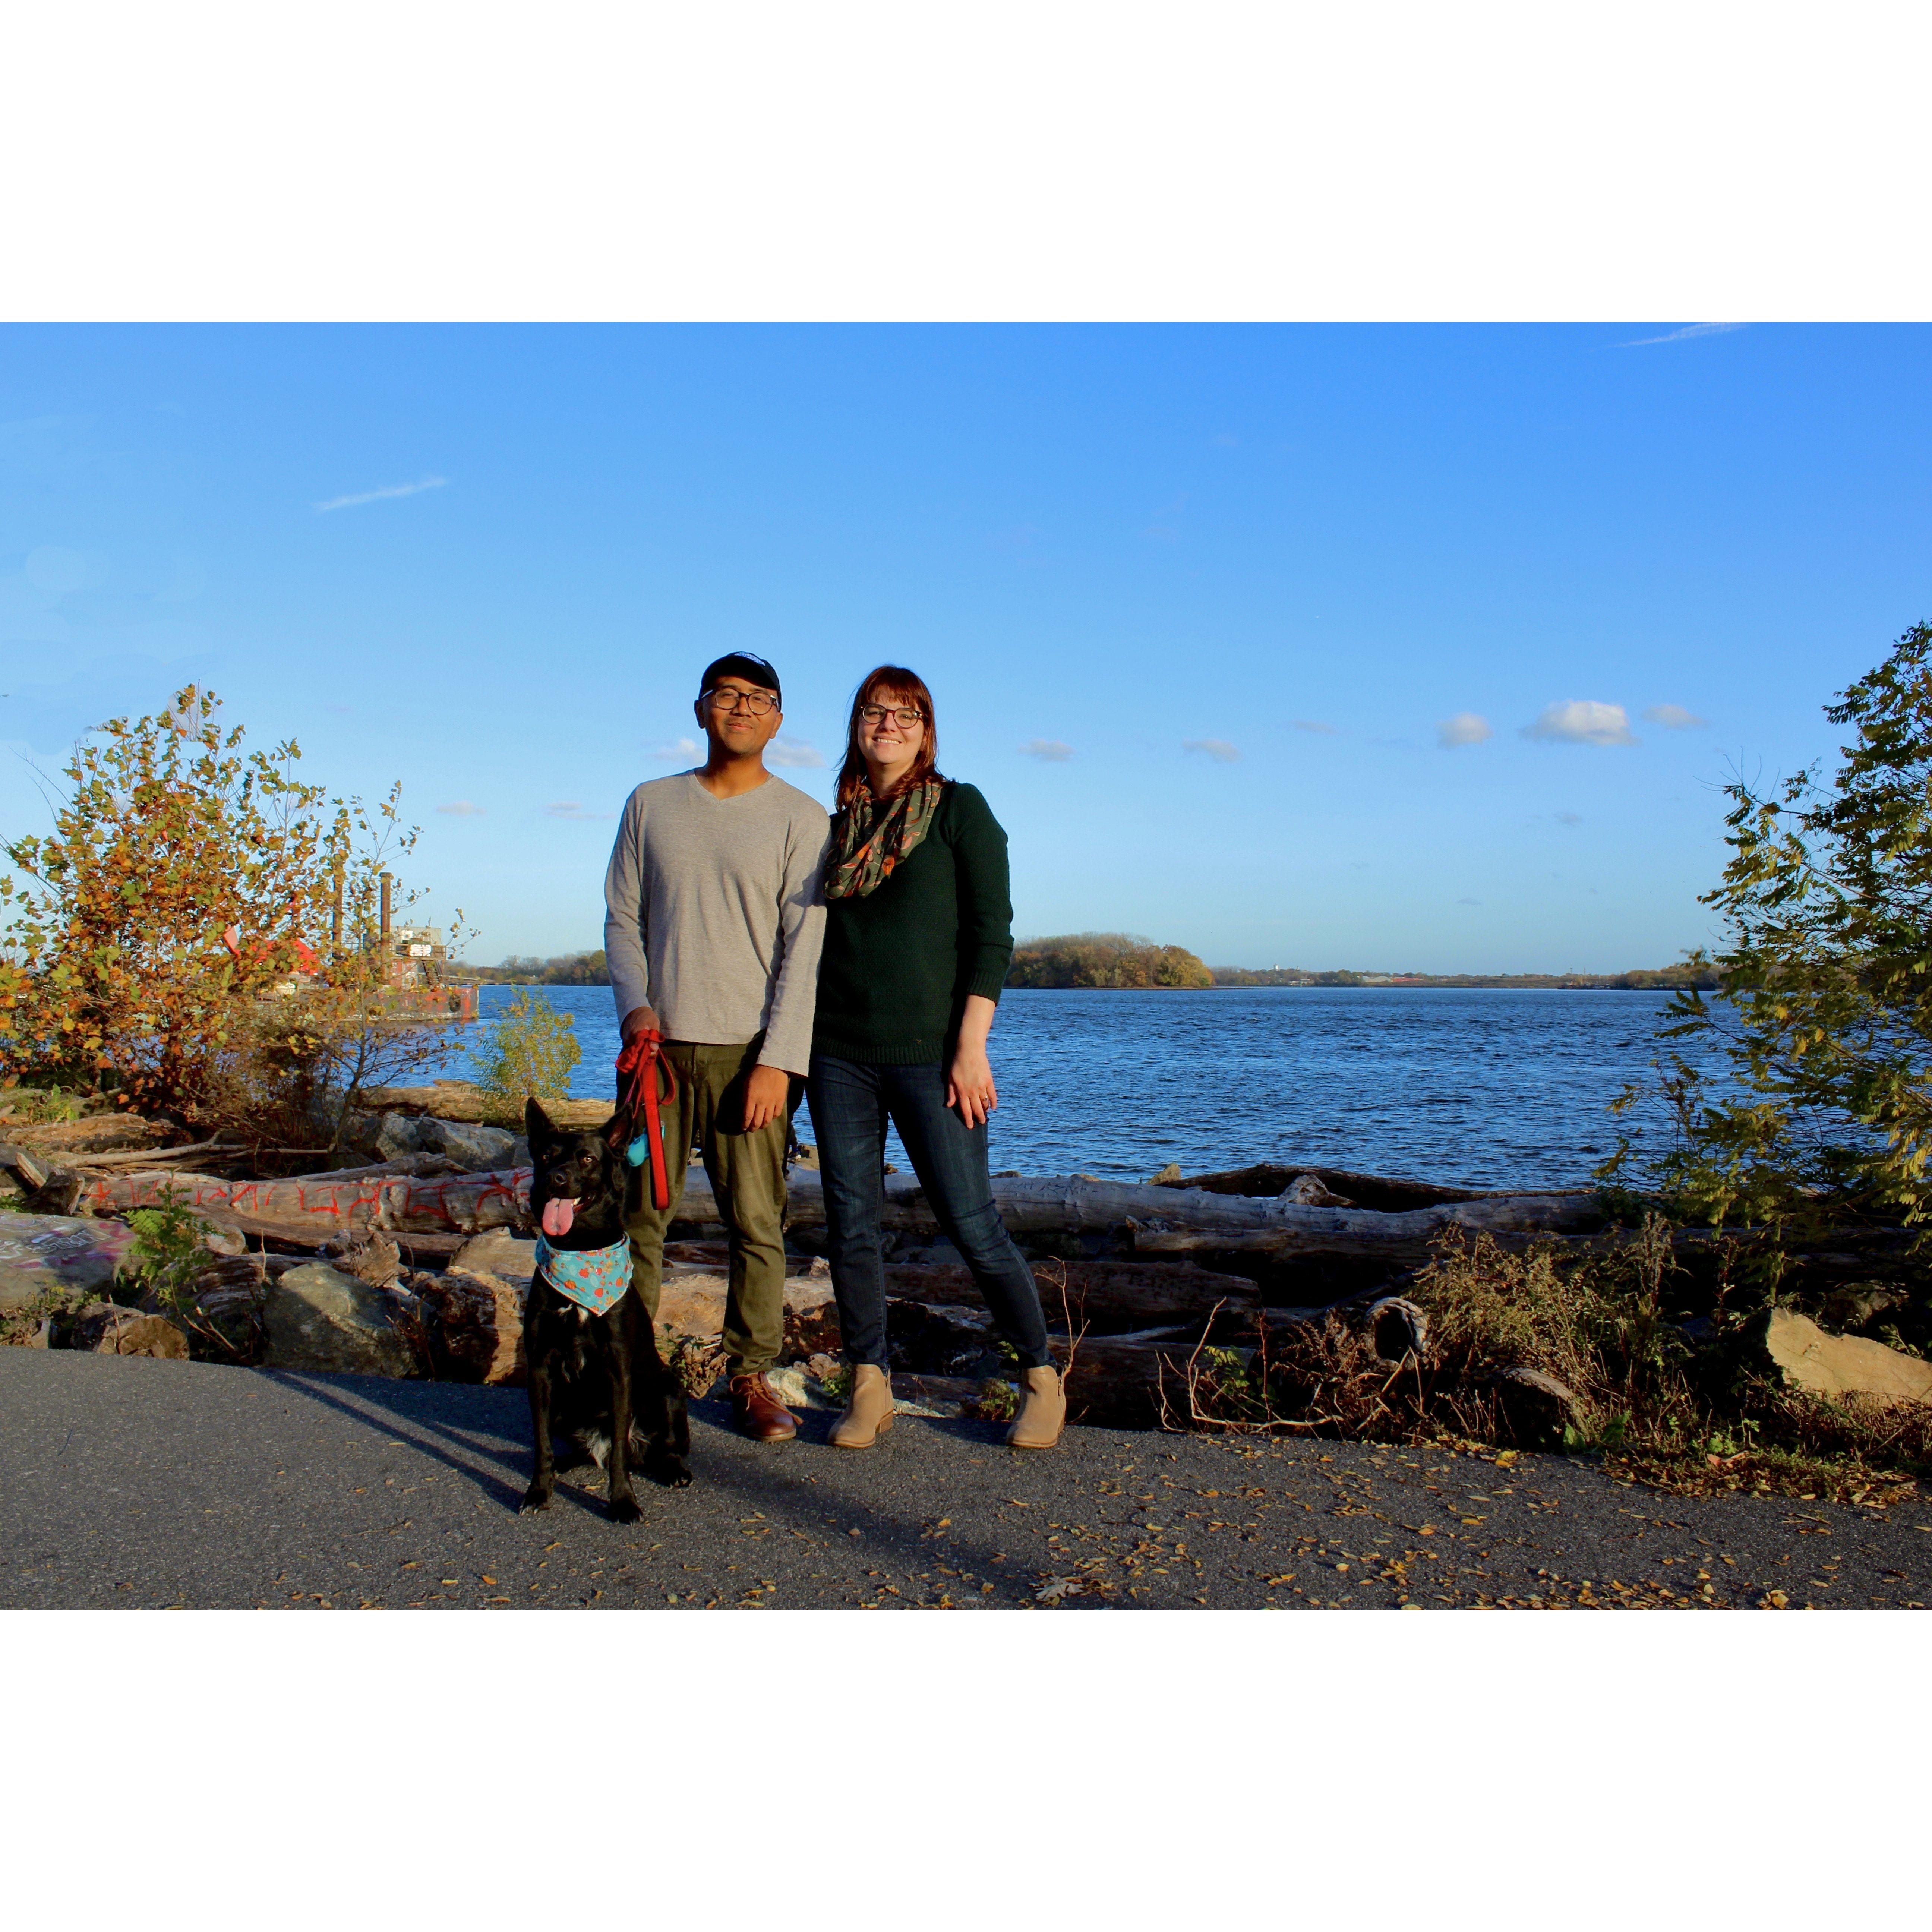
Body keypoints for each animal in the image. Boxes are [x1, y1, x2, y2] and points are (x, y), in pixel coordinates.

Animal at [518, 1097, 691, 1515]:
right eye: (545, 1155)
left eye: (586, 1159)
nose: (556, 1179)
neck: (578, 1250)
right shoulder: (540, 1369)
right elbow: (541, 1444)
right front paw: (538, 1491)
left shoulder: (618, 1368)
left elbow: (619, 1458)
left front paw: (623, 1502)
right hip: (564, 1405)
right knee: (584, 1448)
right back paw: (566, 1464)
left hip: (668, 1389)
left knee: (659, 1447)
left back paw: (674, 1470)